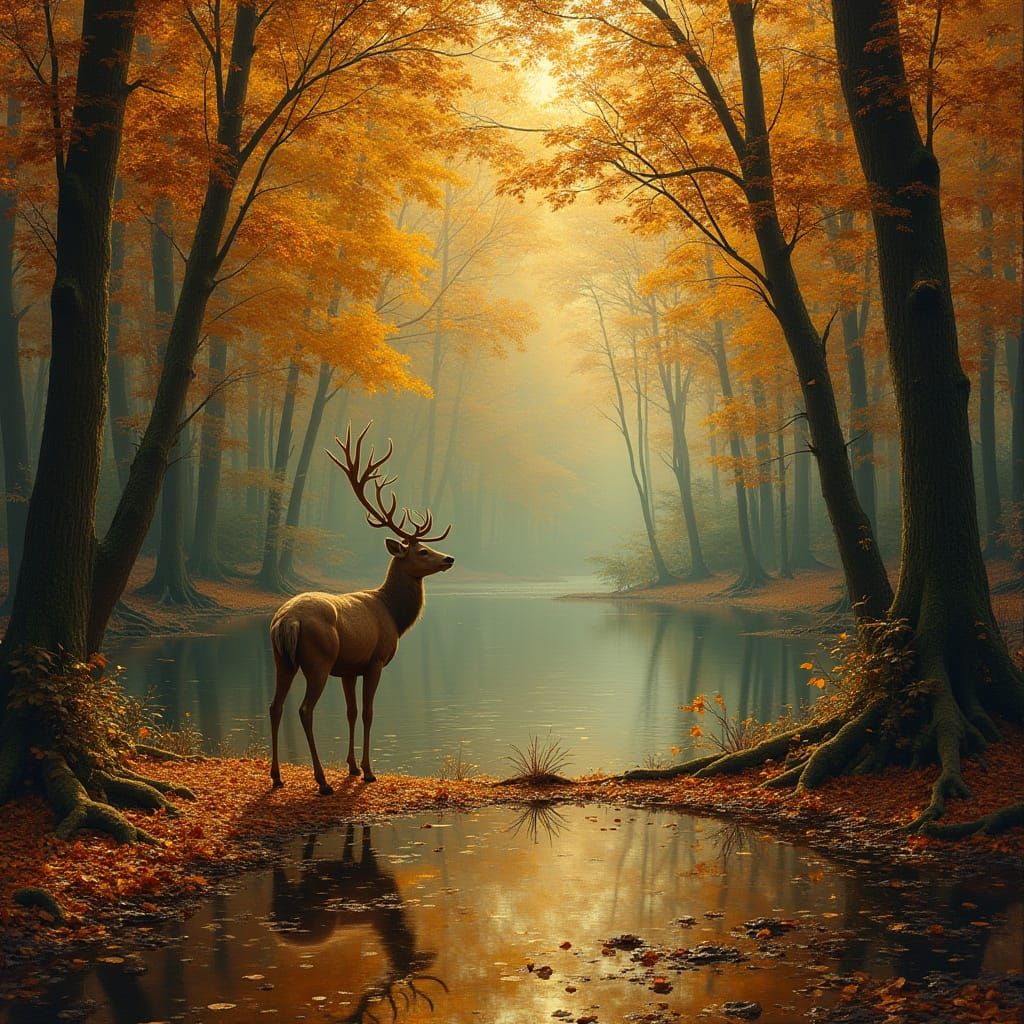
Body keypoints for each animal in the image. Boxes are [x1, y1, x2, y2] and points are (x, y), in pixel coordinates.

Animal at [269, 423, 453, 793]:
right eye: (422, 551)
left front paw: (352, 767)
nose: (449, 558)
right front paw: (368, 770)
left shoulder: (349, 668)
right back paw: (321, 781)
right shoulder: (375, 659)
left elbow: (351, 712)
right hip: (318, 659)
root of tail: (287, 621)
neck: (394, 615)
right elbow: (368, 713)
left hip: (282, 658)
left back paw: (278, 776)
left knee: (275, 706)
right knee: (304, 709)